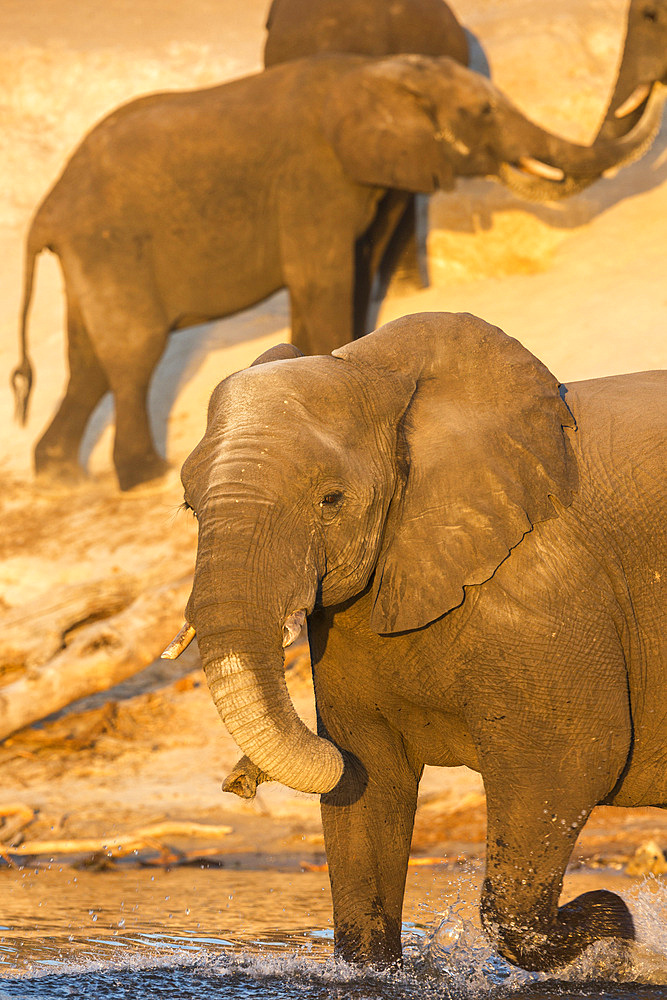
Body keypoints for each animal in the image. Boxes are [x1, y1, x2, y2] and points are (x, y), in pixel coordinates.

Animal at [11, 55, 667, 492]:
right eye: (482, 112)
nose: (653, 87)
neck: (374, 74)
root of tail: (46, 212)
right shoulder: (313, 177)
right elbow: (322, 280)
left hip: (94, 254)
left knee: (88, 364)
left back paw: (59, 475)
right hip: (112, 245)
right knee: (133, 353)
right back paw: (142, 475)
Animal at [164, 308, 664, 972]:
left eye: (331, 500)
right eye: (189, 506)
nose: (239, 782)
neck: (382, 377)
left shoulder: (546, 586)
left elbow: (573, 760)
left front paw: (615, 926)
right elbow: (367, 776)